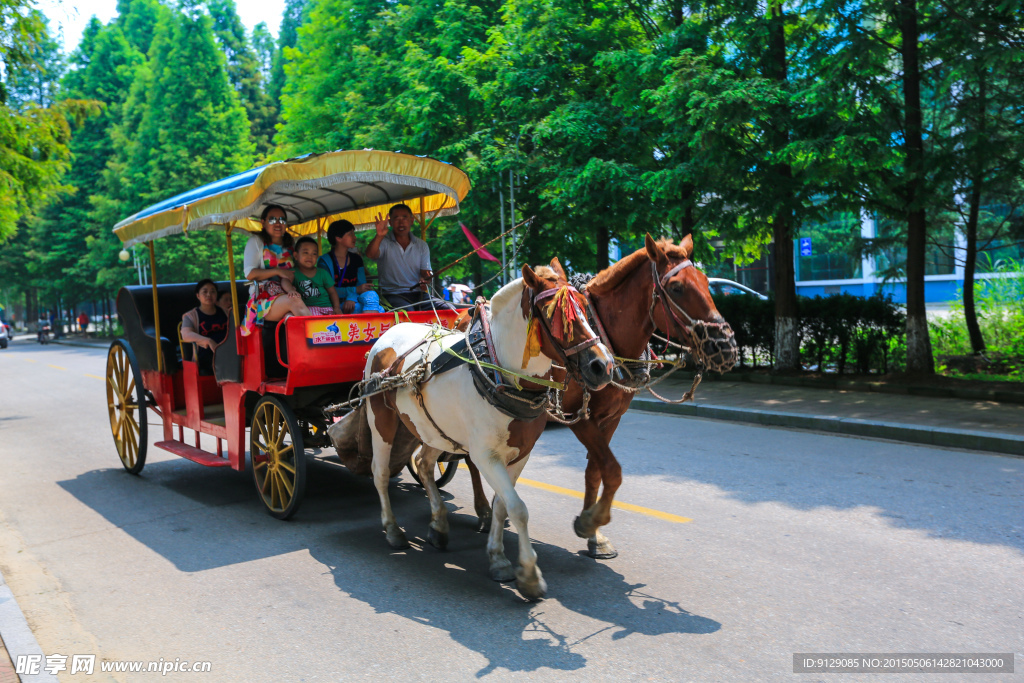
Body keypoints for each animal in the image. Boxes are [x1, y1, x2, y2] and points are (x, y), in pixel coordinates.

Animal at [364, 264, 610, 593]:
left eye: (585, 306)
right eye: (555, 315)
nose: (603, 366)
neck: (500, 372)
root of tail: (390, 332)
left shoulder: (521, 453)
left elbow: (502, 505)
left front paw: (498, 558)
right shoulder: (485, 456)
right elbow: (518, 508)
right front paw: (529, 574)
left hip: (435, 429)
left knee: (424, 464)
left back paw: (439, 525)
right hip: (381, 420)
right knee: (379, 472)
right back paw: (392, 529)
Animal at [464, 232, 737, 557]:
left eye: (706, 282)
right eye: (677, 287)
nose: (726, 347)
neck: (606, 338)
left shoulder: (611, 419)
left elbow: (597, 471)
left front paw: (595, 534)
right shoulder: (580, 418)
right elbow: (612, 469)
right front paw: (591, 520)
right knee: (470, 458)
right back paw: (483, 511)